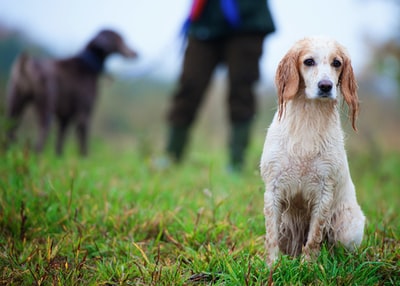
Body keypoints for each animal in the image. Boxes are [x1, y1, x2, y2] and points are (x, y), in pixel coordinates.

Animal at [5, 28, 138, 156]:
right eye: (119, 39)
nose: (136, 53)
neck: (88, 64)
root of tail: (25, 64)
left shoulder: (65, 117)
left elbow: (60, 142)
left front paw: (59, 158)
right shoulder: (84, 114)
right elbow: (83, 144)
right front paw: (84, 159)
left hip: (15, 104)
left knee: (10, 131)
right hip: (46, 108)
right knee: (39, 141)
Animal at [260, 36, 366, 266]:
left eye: (337, 63)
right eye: (308, 61)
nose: (325, 86)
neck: (308, 119)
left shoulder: (324, 191)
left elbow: (314, 238)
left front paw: (308, 266)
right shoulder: (273, 189)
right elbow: (271, 237)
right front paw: (271, 267)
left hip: (348, 229)